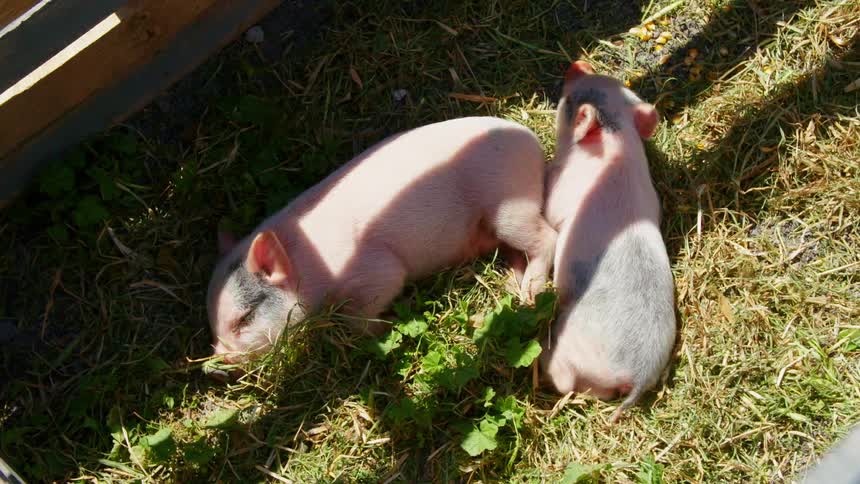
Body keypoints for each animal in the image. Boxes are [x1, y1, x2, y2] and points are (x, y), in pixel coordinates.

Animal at [207, 116, 557, 362]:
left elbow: (364, 311)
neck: (307, 270)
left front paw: (388, 325)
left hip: (510, 202)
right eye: (214, 325)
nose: (218, 358)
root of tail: (532, 141)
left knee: (547, 237)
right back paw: (512, 285)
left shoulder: (376, 271)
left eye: (244, 318)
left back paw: (531, 291)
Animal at [540, 61, 676, 422]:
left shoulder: (559, 192)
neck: (617, 139)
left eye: (570, 101)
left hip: (573, 346)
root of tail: (640, 375)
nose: (577, 65)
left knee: (563, 377)